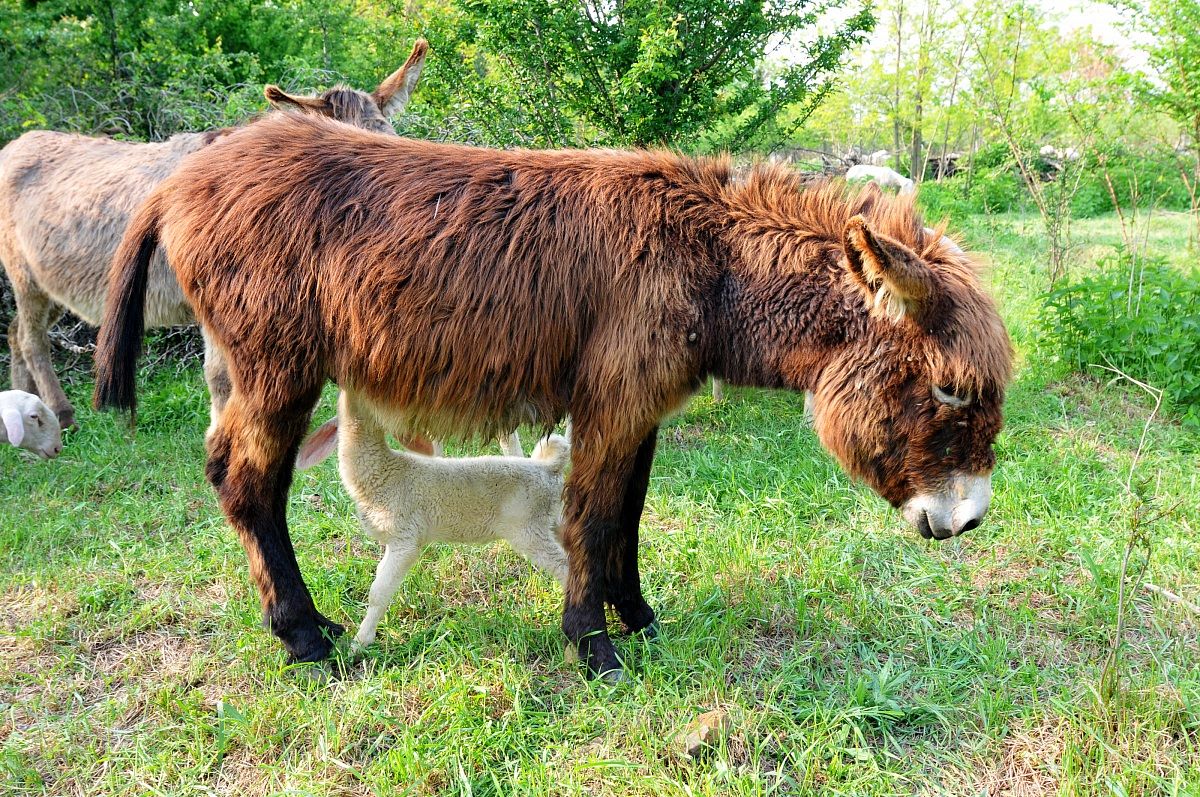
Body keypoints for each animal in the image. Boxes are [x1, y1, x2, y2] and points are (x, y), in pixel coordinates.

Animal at [296, 390, 571, 651]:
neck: (383, 473)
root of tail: (550, 469)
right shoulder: (392, 539)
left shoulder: (406, 537)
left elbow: (378, 593)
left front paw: (360, 644)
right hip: (553, 518)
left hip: (529, 527)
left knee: (566, 569)